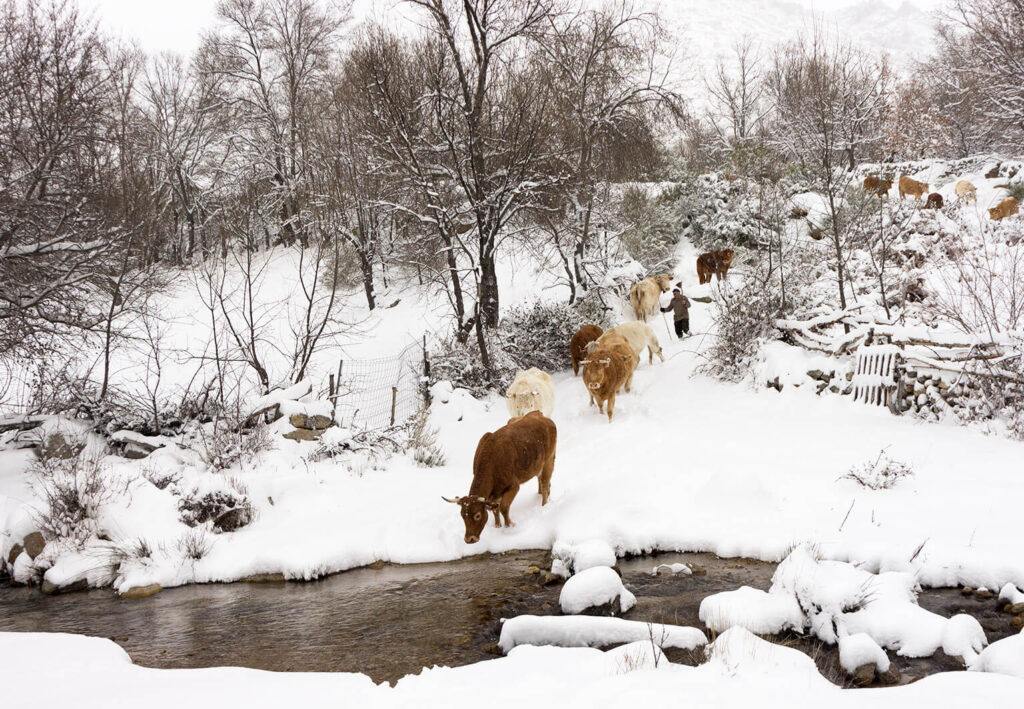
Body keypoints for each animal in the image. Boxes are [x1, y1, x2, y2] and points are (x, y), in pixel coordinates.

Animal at [442, 409, 557, 540]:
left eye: (477, 515)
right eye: (462, 515)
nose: (470, 539)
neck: (491, 461)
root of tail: (538, 414)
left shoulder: (514, 486)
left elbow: (503, 507)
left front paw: (509, 525)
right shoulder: (494, 493)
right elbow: (495, 509)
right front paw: (497, 525)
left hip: (549, 460)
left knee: (545, 484)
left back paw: (544, 506)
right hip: (538, 465)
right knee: (543, 482)